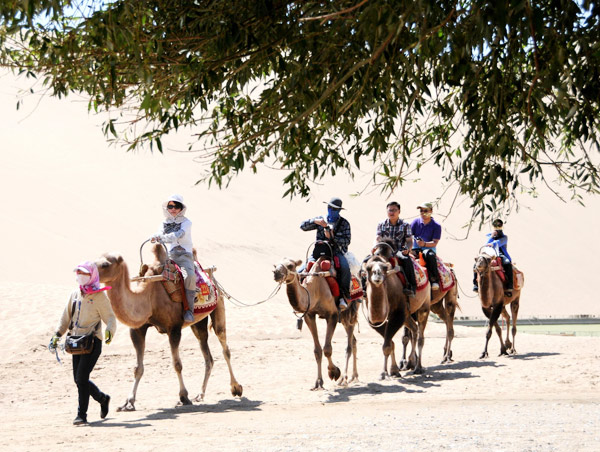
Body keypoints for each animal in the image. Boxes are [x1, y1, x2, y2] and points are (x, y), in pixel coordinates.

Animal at [95, 247, 243, 410]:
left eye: (105, 264)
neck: (148, 298)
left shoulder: (174, 328)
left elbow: (177, 364)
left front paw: (184, 397)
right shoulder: (137, 329)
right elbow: (137, 368)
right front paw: (128, 402)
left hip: (218, 305)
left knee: (224, 346)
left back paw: (236, 388)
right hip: (198, 323)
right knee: (207, 354)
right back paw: (200, 394)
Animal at [274, 258, 360, 388]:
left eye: (290, 265)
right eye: (276, 264)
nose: (276, 273)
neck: (315, 291)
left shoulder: (332, 315)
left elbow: (327, 349)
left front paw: (334, 372)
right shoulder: (309, 315)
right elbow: (317, 350)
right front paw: (318, 382)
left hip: (351, 309)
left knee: (349, 345)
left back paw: (344, 378)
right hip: (344, 317)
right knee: (353, 340)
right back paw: (354, 376)